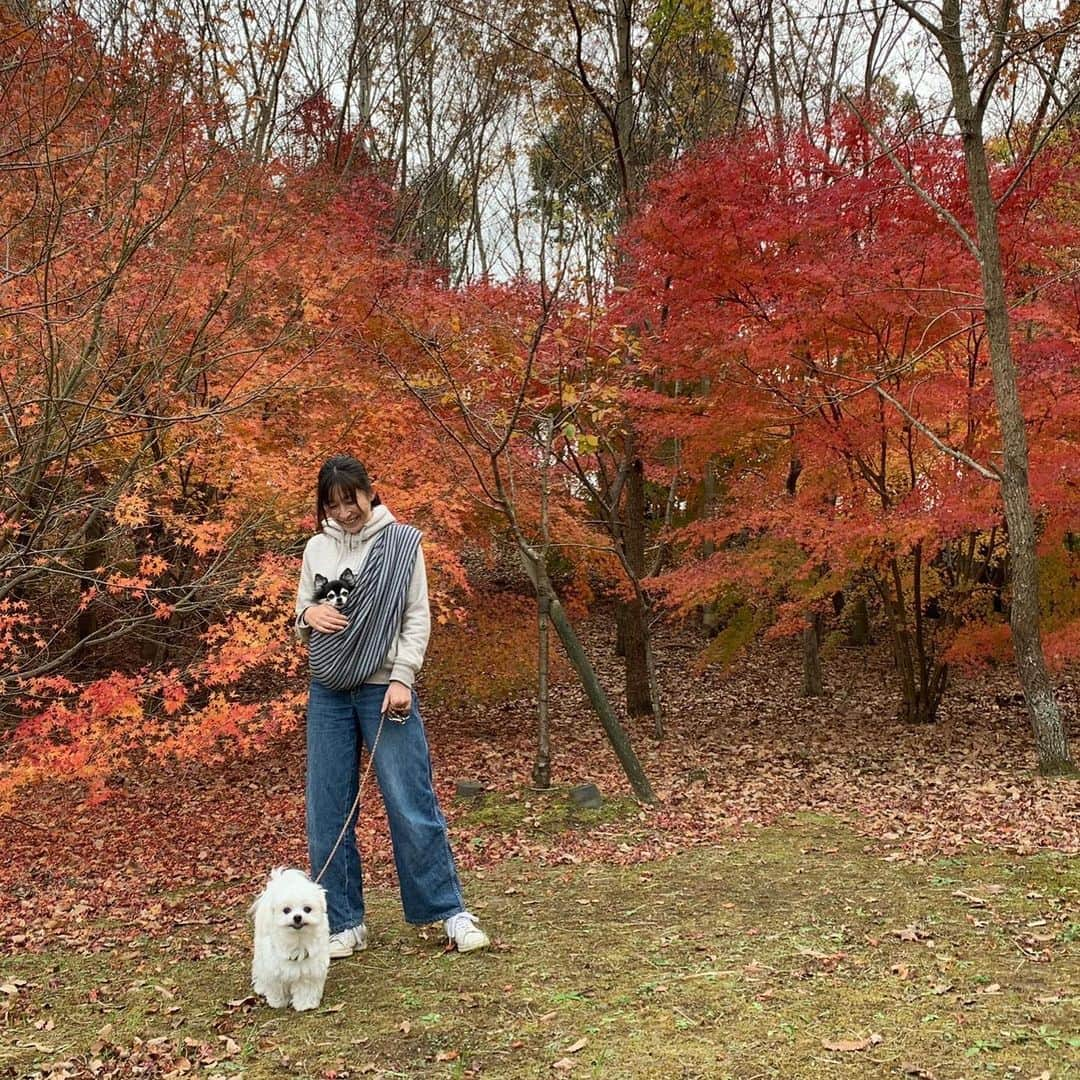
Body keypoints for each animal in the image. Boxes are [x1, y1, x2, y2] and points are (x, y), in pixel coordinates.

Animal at [251, 868, 330, 1010]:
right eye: (286, 910)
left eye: (307, 909)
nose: (297, 917)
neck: (297, 938)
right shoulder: (274, 967)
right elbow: (276, 985)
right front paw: (277, 1002)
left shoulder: (310, 970)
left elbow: (306, 988)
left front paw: (305, 1004)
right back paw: (261, 986)